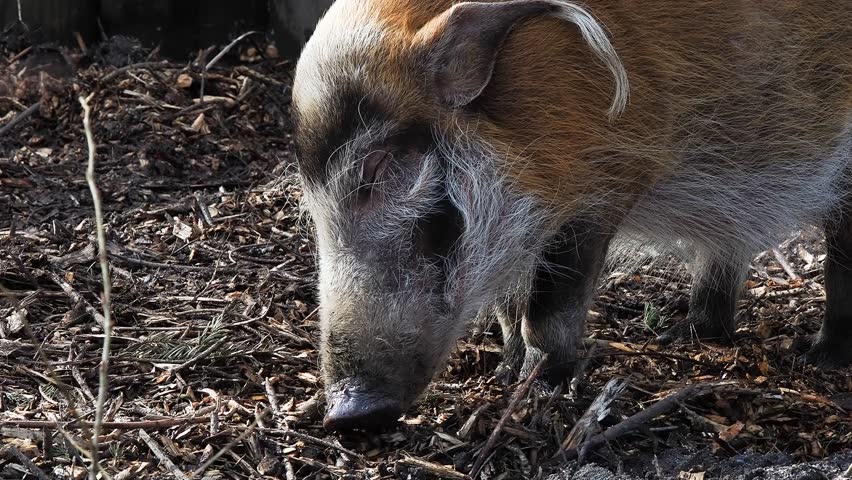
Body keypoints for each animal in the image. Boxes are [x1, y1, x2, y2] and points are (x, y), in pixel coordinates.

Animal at [291, 0, 852, 430]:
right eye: (312, 196)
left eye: (377, 165)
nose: (346, 415)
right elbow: (510, 305)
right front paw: (505, 375)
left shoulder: (600, 185)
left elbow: (550, 308)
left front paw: (541, 389)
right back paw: (683, 336)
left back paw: (818, 356)